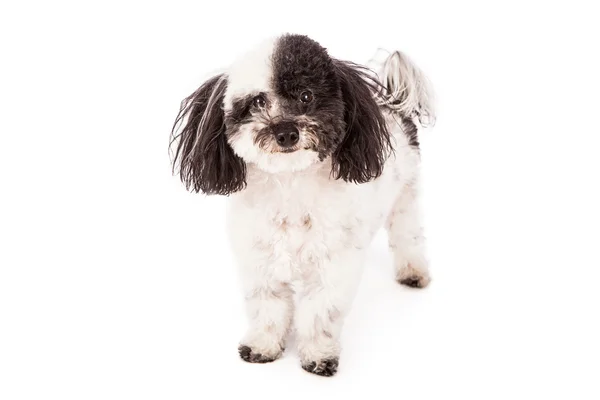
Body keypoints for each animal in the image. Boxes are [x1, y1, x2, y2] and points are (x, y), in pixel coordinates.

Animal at [169, 33, 436, 376]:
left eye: (307, 95)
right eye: (257, 102)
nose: (286, 132)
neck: (291, 188)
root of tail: (393, 103)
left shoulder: (332, 266)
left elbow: (320, 312)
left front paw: (319, 355)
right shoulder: (259, 261)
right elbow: (267, 308)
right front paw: (262, 346)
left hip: (406, 196)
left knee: (408, 236)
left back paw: (413, 273)